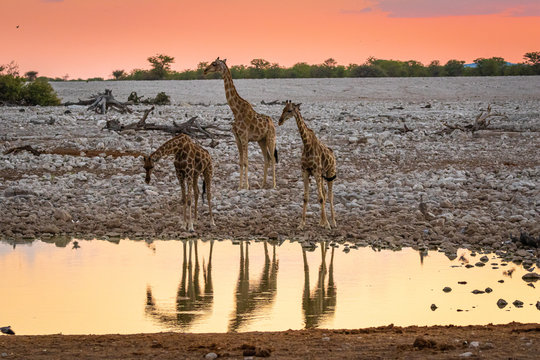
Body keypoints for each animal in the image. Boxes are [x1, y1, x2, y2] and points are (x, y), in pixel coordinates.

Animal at [204, 57, 278, 190]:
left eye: (214, 64)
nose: (205, 70)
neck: (236, 112)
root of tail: (272, 123)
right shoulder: (237, 138)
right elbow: (240, 162)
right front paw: (239, 186)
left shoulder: (244, 137)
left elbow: (246, 162)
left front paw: (246, 186)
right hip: (261, 140)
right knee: (267, 158)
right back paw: (263, 184)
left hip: (271, 137)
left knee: (273, 158)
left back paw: (274, 185)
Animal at [278, 100, 338, 229]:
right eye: (283, 109)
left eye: (289, 110)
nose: (280, 121)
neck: (307, 144)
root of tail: (332, 153)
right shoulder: (305, 171)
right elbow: (306, 198)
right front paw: (301, 224)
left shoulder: (315, 172)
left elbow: (320, 198)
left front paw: (327, 225)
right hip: (322, 175)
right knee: (324, 193)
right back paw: (321, 222)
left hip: (330, 173)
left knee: (330, 196)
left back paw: (333, 222)